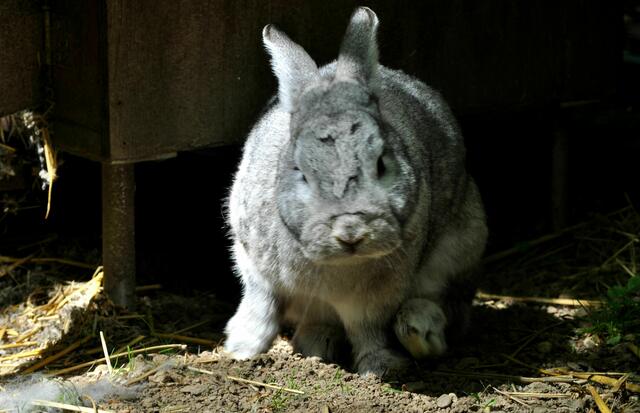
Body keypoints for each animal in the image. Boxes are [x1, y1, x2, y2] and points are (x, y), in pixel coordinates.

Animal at [223, 7, 488, 376]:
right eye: (301, 171)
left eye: (381, 163)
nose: (350, 231)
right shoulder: (253, 265)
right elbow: (261, 306)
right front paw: (241, 349)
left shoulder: (376, 297)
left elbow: (367, 329)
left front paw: (381, 368)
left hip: (462, 246)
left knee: (450, 310)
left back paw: (419, 330)